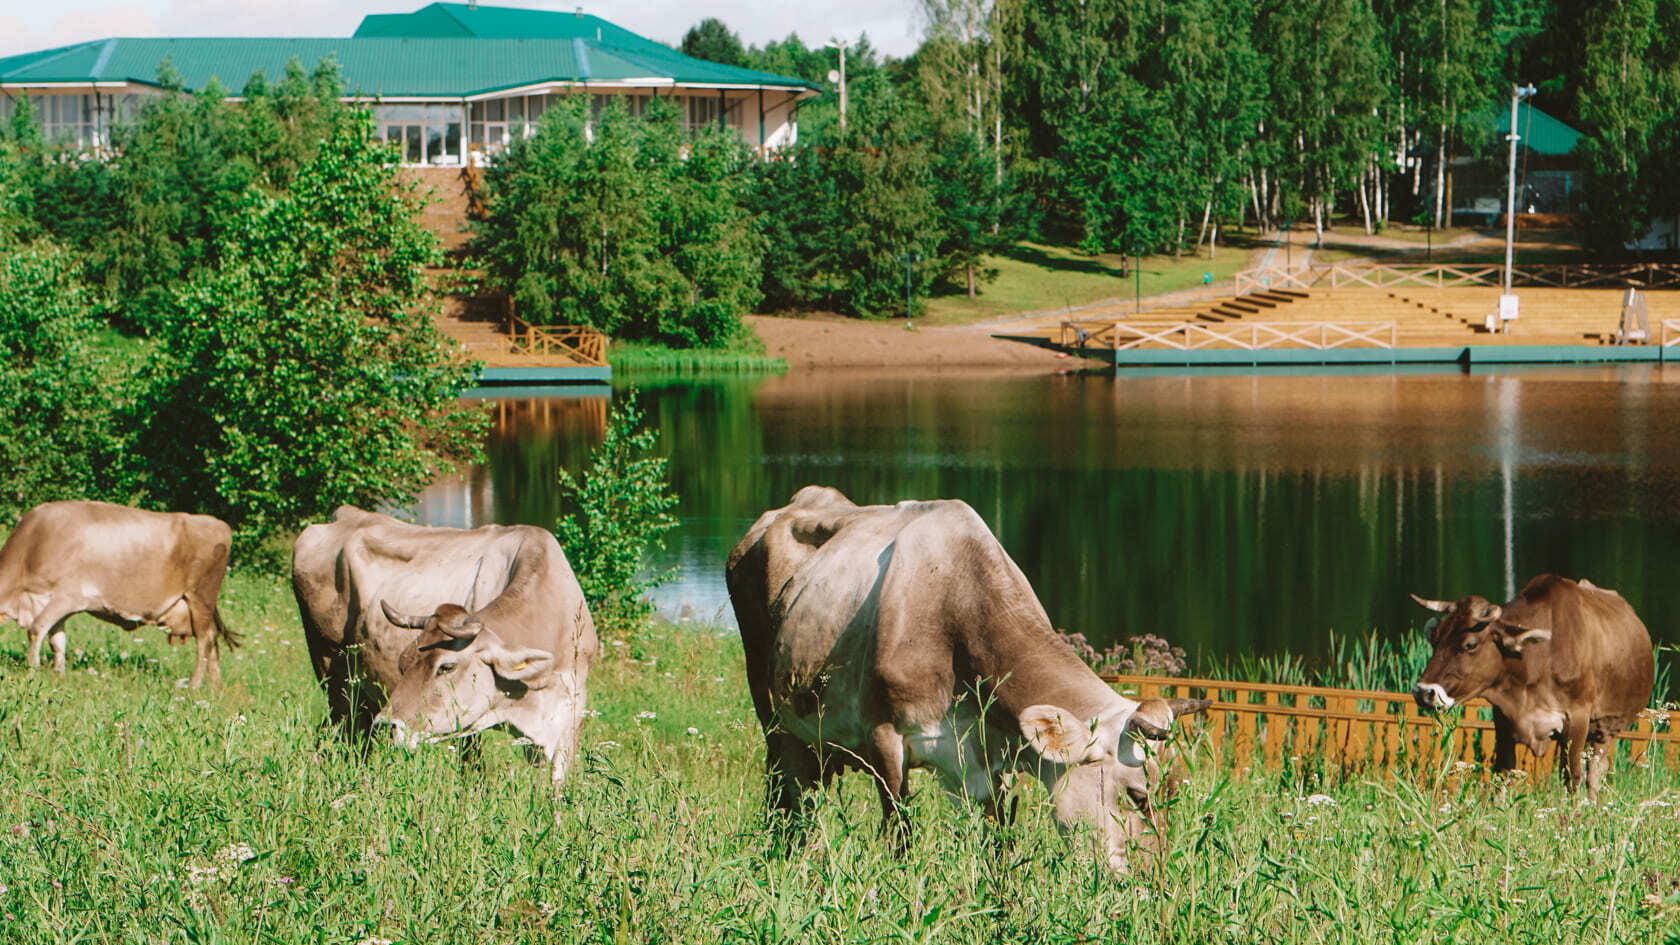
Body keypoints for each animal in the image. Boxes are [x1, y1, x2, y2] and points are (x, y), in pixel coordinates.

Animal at [0, 501, 236, 682]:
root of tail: (219, 524)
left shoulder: (66, 597)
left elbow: (35, 630)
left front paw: (33, 673)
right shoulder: (51, 603)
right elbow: (57, 642)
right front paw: (59, 675)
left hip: (200, 597)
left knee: (205, 640)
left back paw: (194, 686)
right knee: (213, 638)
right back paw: (215, 688)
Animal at [294, 507, 598, 786]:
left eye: (446, 666)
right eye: (403, 664)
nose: (389, 725)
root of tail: (344, 514)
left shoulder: (570, 717)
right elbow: (473, 770)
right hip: (335, 680)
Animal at [1411, 571, 1659, 790]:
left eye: (1470, 644)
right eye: (1434, 639)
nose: (1424, 692)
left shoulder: (1577, 718)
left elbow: (1572, 777)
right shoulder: (1503, 719)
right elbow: (1503, 774)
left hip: (1605, 729)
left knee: (1595, 773)